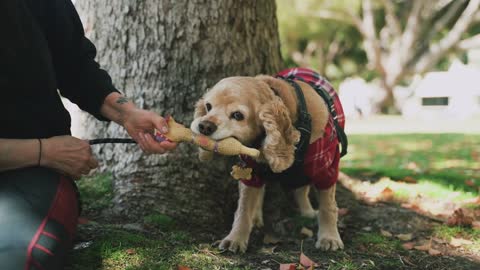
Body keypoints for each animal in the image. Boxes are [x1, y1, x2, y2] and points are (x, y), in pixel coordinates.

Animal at [190, 67, 344, 253]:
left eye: (237, 115)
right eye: (208, 106)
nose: (204, 126)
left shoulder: (325, 169)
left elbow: (328, 207)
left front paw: (329, 237)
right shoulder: (250, 172)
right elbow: (243, 208)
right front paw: (236, 238)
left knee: (302, 190)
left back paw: (307, 212)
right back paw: (256, 217)